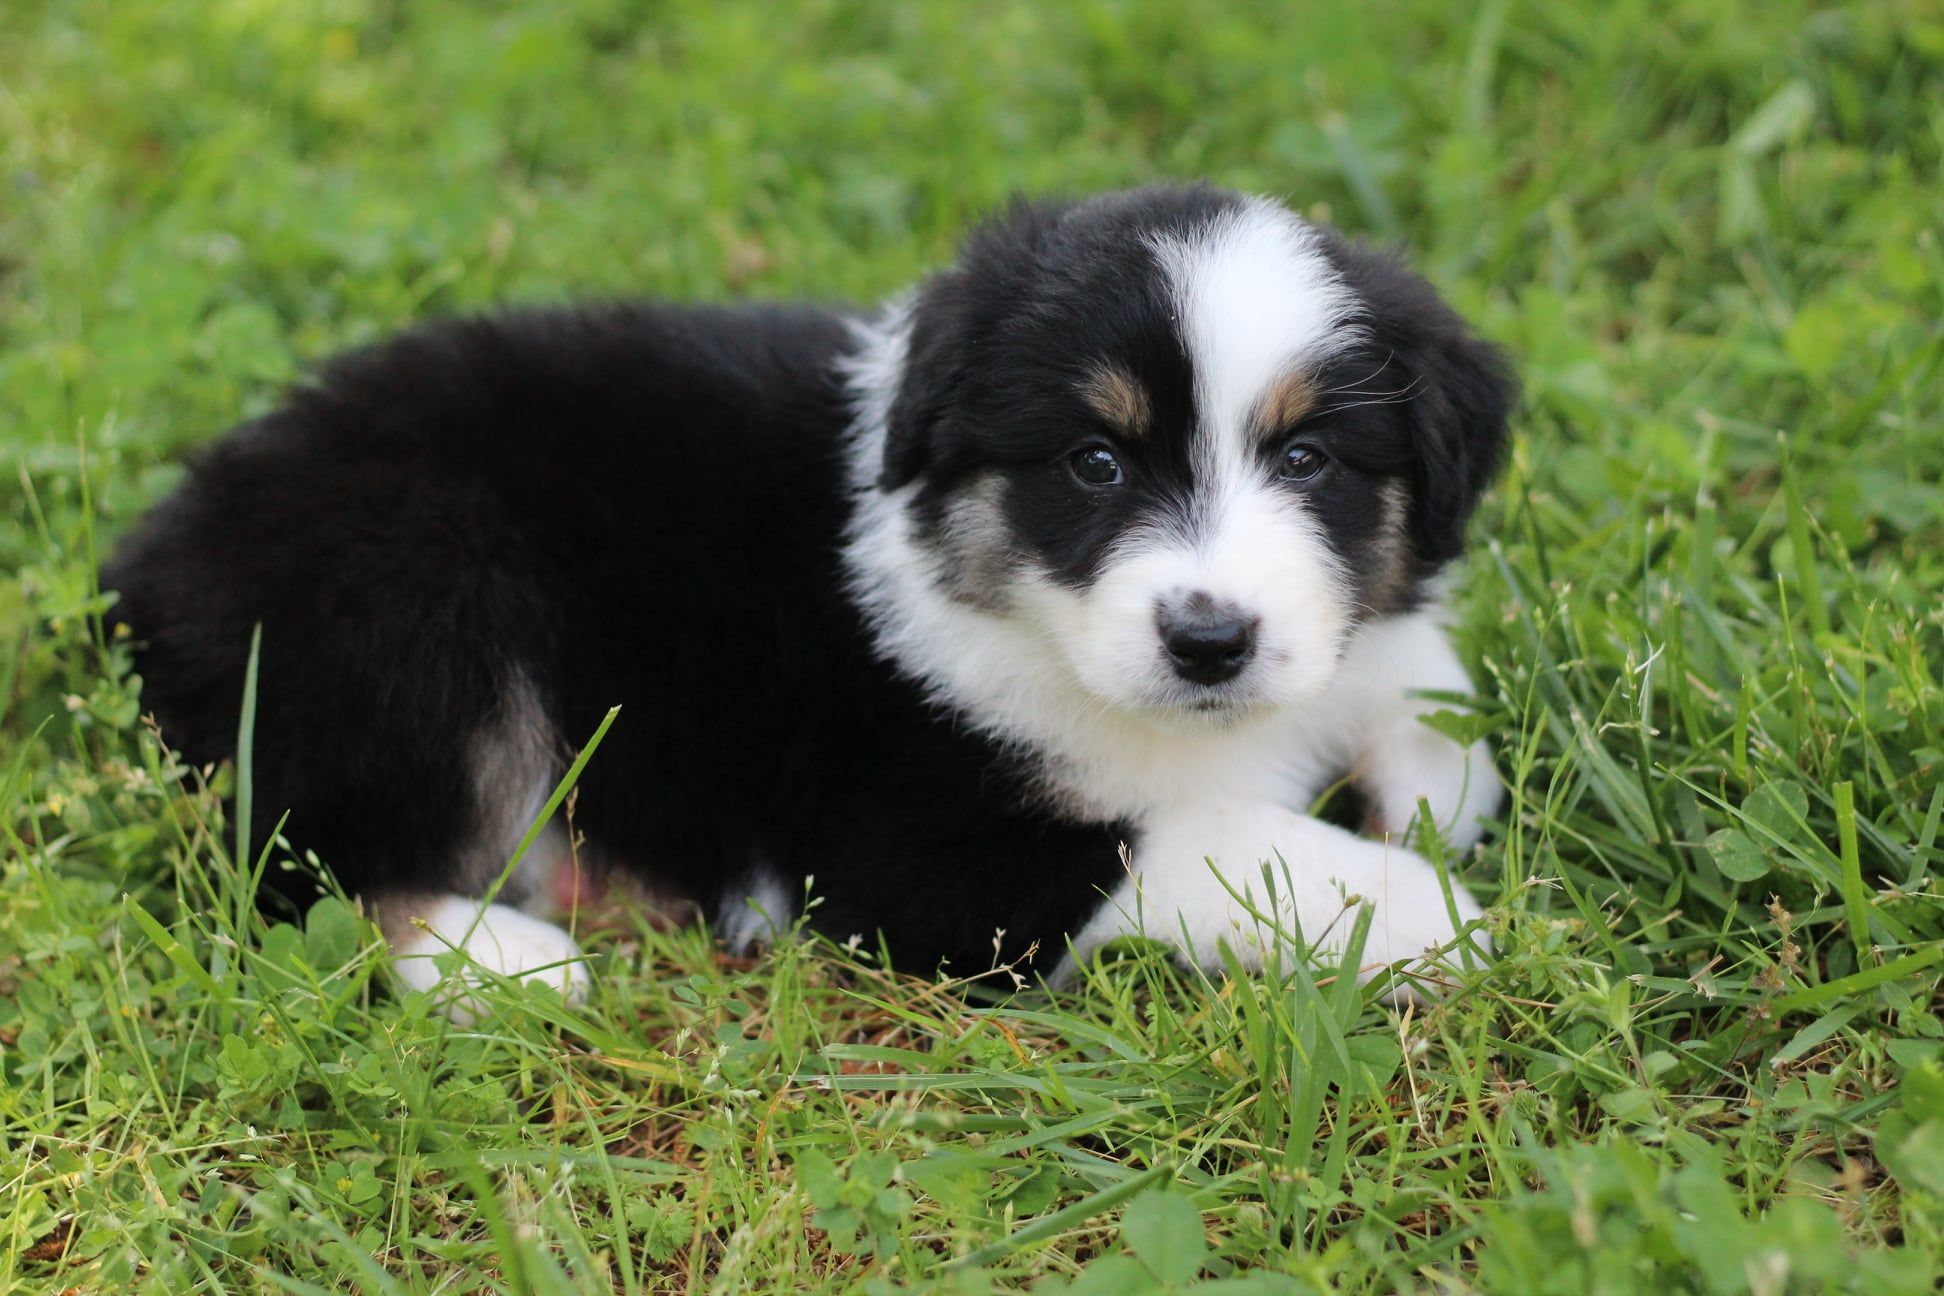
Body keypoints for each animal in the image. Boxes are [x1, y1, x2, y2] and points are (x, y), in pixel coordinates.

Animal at [106, 184, 1516, 1010]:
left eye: (1309, 460)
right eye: (1095, 463)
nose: (1210, 640)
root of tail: (154, 553)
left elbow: (1420, 687)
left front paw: (1430, 791)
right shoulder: (921, 852)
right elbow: (1217, 842)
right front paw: (1426, 914)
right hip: (413, 601)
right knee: (300, 864)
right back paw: (506, 957)